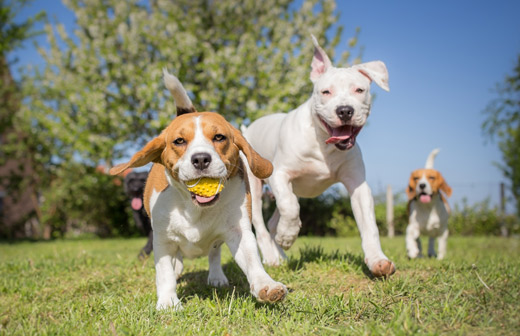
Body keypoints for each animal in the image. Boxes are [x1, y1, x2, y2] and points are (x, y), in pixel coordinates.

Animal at [111, 69, 286, 312]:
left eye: (219, 137)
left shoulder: (239, 231)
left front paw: (266, 286)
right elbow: (164, 272)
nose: (201, 159)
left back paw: (216, 276)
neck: (194, 207)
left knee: (214, 253)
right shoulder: (162, 238)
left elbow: (253, 262)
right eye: (179, 141)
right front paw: (168, 301)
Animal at [243, 35, 394, 276]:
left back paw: (281, 255)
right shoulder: (280, 174)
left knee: (274, 221)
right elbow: (290, 207)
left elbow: (369, 225)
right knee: (261, 223)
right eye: (326, 92)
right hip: (255, 187)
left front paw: (377, 260)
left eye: (359, 90)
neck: (323, 144)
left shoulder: (358, 186)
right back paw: (272, 256)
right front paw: (288, 235)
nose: (345, 110)